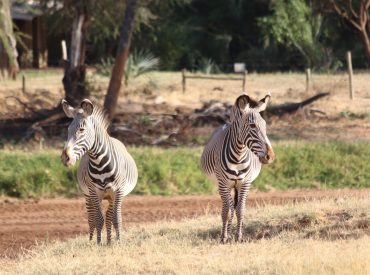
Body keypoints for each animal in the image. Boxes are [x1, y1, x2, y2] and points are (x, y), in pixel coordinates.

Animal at [61, 98, 138, 245]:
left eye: (81, 129)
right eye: (67, 130)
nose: (65, 158)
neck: (99, 163)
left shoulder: (118, 191)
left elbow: (116, 219)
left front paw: (118, 242)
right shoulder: (94, 192)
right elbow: (98, 219)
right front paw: (98, 243)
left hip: (112, 196)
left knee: (109, 216)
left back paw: (109, 241)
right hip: (88, 195)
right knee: (91, 218)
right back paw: (93, 240)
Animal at [199, 94, 274, 244]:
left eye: (265, 126)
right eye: (252, 126)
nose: (270, 156)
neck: (238, 156)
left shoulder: (245, 183)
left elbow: (240, 209)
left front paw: (239, 236)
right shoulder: (223, 184)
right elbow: (227, 211)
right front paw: (224, 237)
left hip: (236, 185)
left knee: (234, 206)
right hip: (225, 185)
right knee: (227, 207)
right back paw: (226, 232)